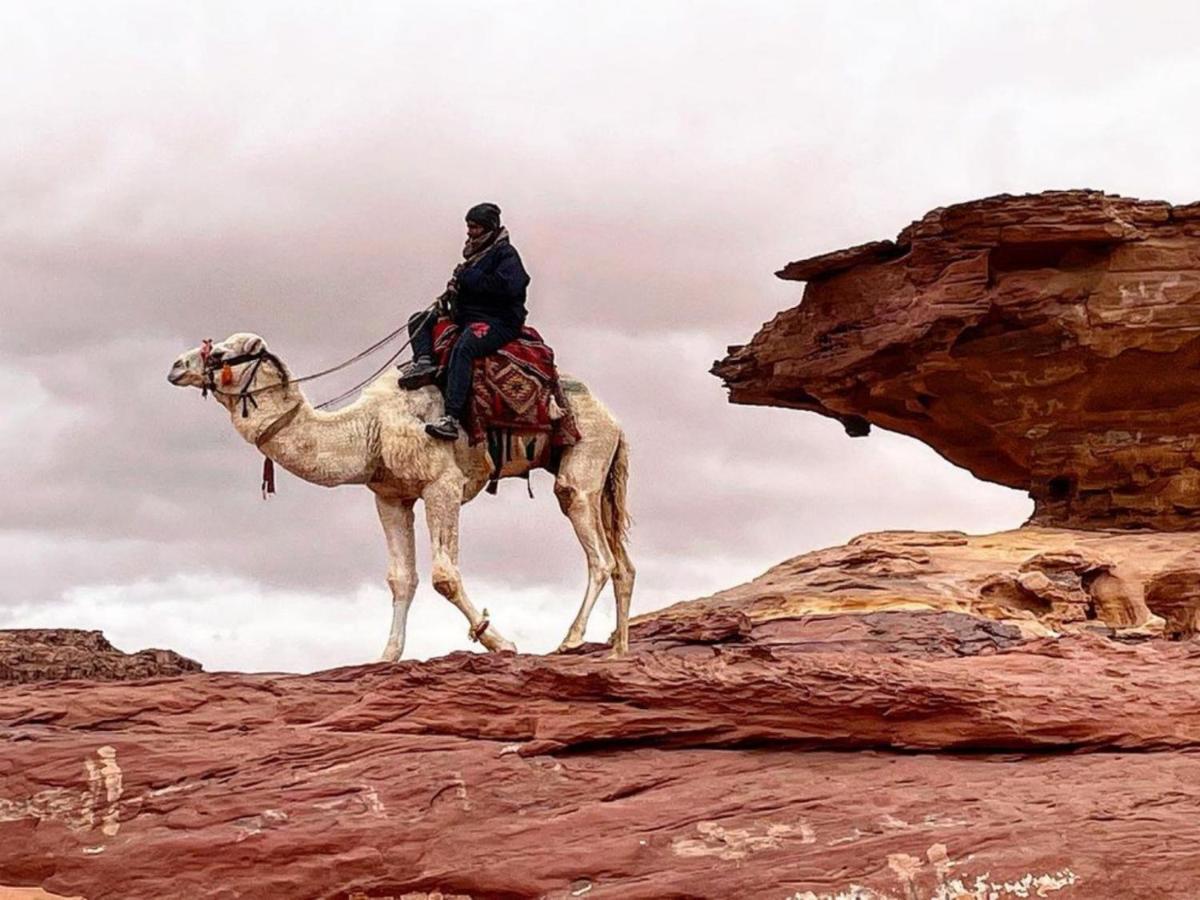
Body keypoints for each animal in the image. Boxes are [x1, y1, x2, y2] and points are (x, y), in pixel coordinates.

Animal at [171, 336, 638, 657]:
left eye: (222, 354)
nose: (176, 365)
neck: (369, 428)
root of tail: (615, 421)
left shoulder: (441, 486)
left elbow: (444, 575)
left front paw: (499, 642)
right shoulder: (390, 496)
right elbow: (401, 578)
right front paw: (388, 655)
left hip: (583, 460)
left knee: (599, 554)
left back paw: (570, 641)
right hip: (600, 476)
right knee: (623, 563)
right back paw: (617, 651)